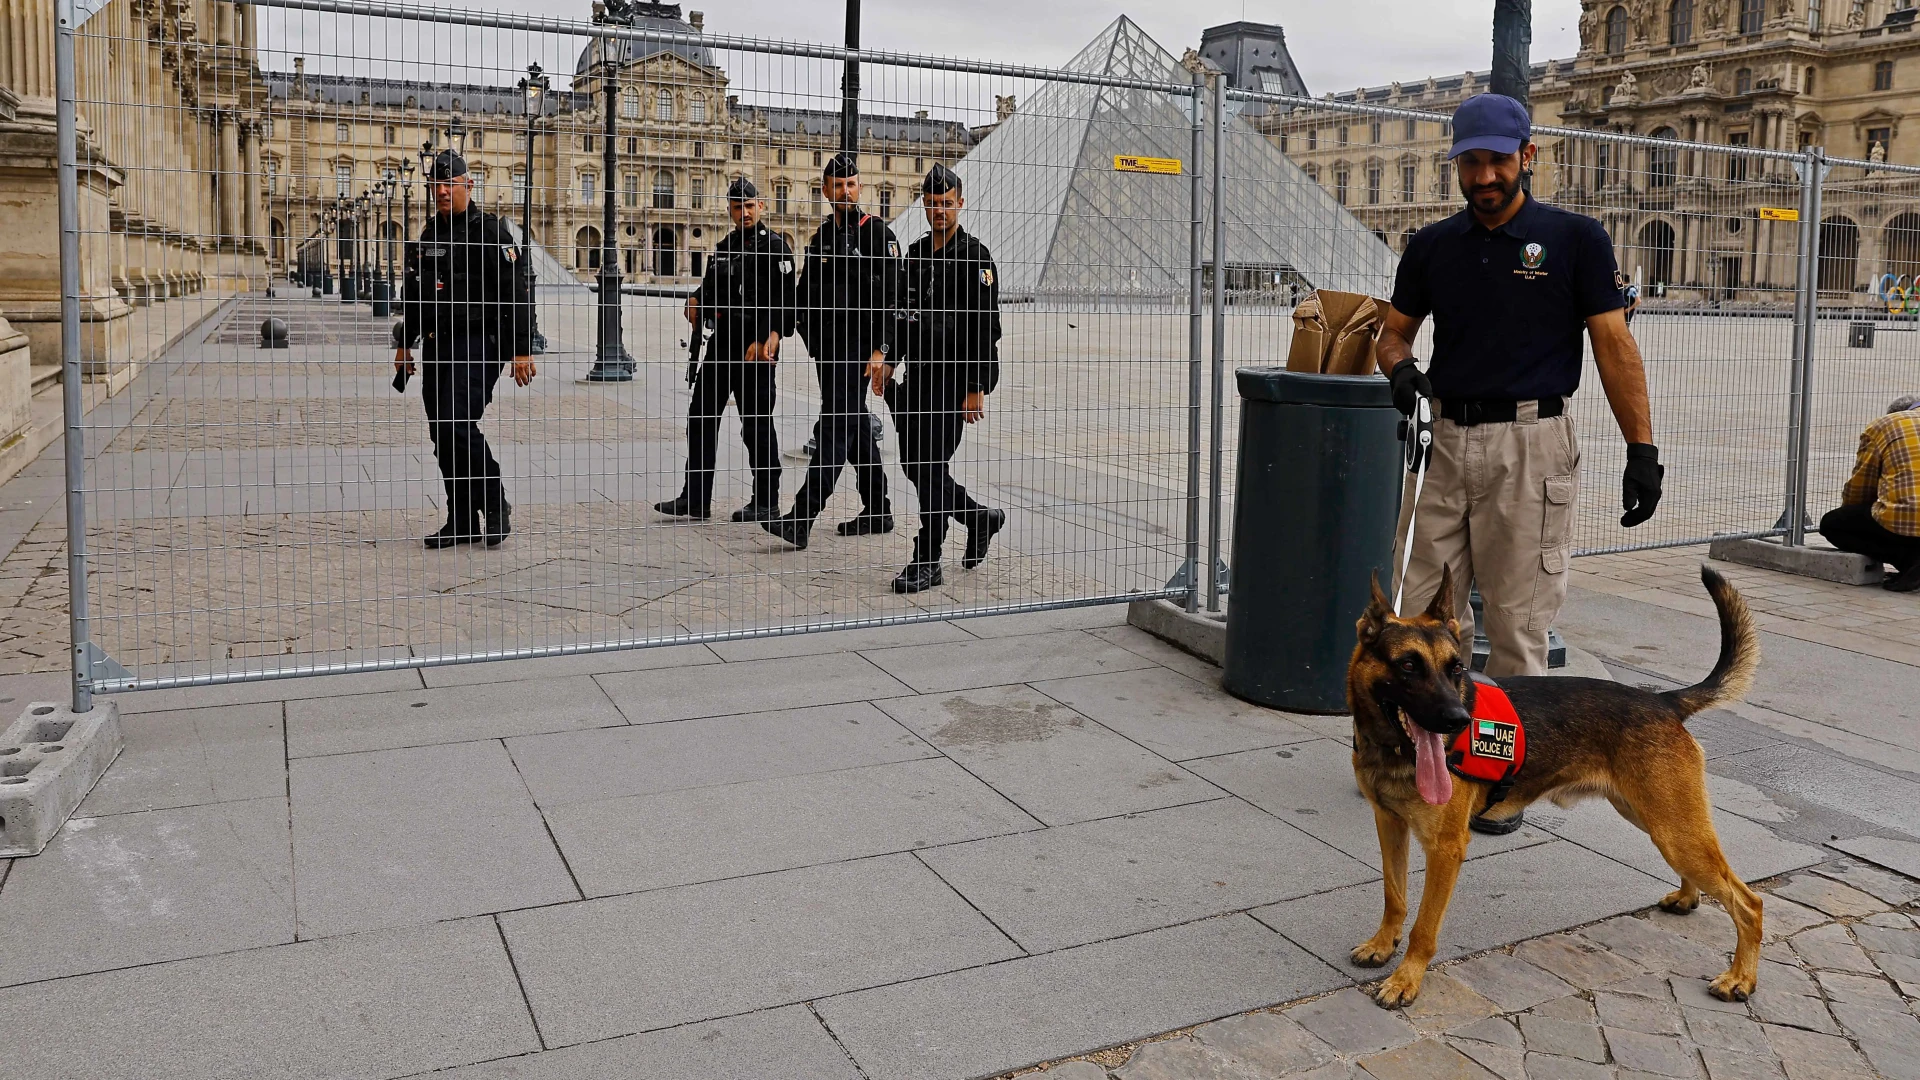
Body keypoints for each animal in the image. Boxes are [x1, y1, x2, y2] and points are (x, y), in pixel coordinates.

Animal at [1344, 564, 1758, 999]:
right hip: (1658, 821)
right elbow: (1394, 896)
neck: (1391, 749)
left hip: (1674, 829)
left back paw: (1740, 977)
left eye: (1455, 668)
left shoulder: (1445, 849)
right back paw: (1688, 898)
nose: (1461, 720)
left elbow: (1424, 927)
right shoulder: (1390, 825)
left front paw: (1406, 978)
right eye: (1408, 666)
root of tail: (1664, 701)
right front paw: (1382, 944)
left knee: (1749, 903)